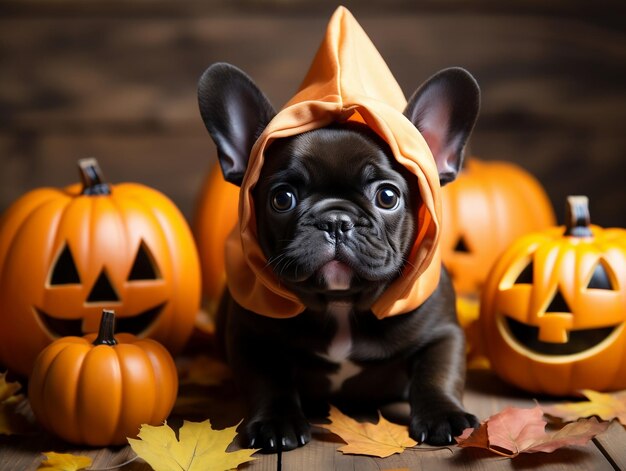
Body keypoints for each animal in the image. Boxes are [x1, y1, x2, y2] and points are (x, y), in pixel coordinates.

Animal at [197, 62, 480, 454]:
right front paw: (275, 422)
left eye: (387, 196)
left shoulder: (441, 332)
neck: (341, 303)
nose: (335, 220)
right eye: (282, 198)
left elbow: (438, 373)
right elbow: (267, 381)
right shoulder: (251, 337)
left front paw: (443, 415)